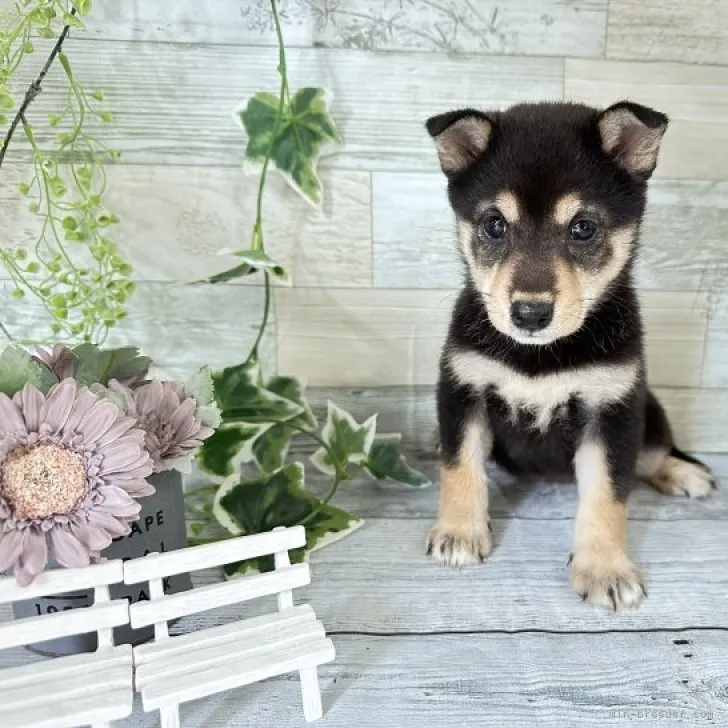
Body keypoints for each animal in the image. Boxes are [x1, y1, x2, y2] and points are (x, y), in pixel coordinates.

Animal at [424, 99, 712, 612]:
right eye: (494, 224)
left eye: (583, 228)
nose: (530, 313)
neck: (540, 355)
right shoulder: (462, 390)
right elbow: (459, 468)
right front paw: (459, 531)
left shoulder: (612, 412)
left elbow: (607, 496)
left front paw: (605, 570)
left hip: (649, 409)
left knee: (653, 456)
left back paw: (682, 473)